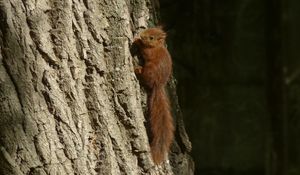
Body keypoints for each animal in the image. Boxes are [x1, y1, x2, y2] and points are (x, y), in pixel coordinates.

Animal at [133, 27, 173, 164]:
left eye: (151, 38)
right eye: (148, 29)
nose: (142, 35)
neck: (157, 46)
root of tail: (158, 85)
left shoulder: (151, 53)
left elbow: (145, 52)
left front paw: (137, 41)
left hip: (149, 71)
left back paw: (137, 70)